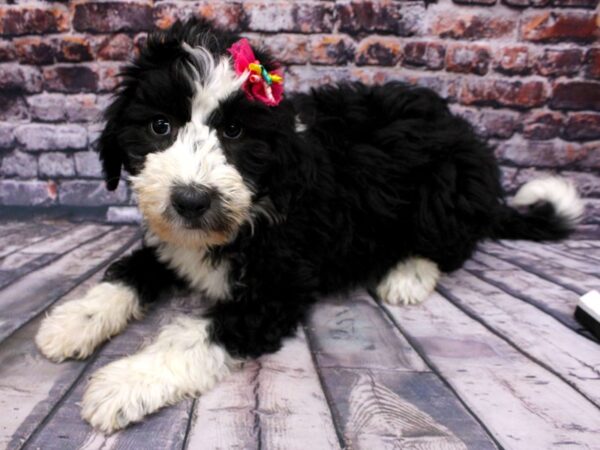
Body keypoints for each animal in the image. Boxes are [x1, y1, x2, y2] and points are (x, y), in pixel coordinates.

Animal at [35, 19, 584, 434]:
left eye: (235, 131)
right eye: (159, 126)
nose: (191, 200)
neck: (260, 199)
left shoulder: (276, 290)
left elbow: (194, 335)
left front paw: (125, 382)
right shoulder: (173, 244)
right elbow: (132, 270)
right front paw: (73, 321)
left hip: (445, 193)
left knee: (453, 244)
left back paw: (408, 274)